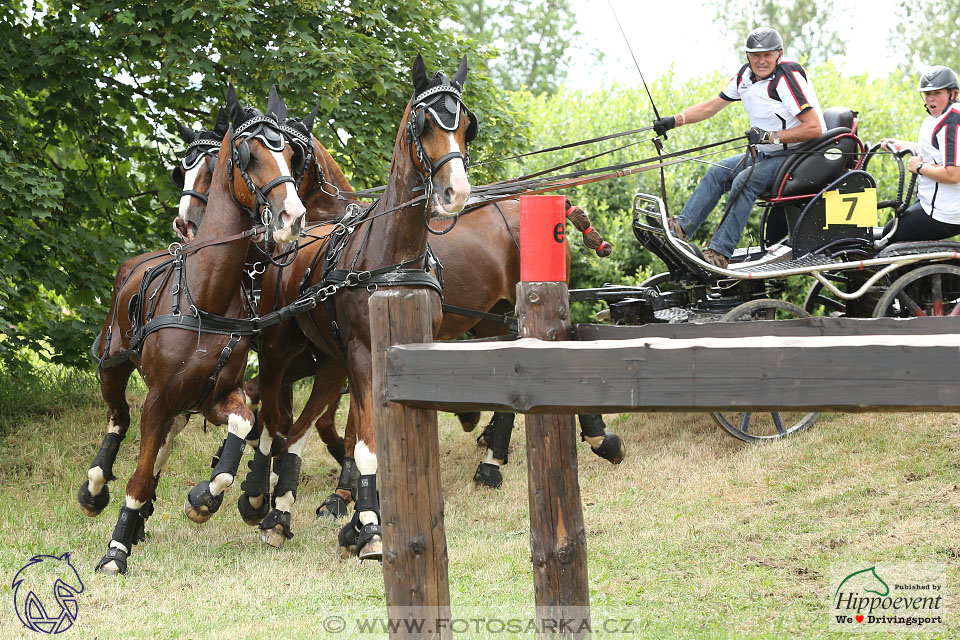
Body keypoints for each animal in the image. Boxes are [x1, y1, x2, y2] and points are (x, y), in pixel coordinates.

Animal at [86, 86, 306, 576]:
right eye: (250, 155)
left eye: (290, 156)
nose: (293, 216)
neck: (207, 295)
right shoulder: (158, 398)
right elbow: (140, 474)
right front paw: (115, 550)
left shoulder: (213, 397)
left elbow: (243, 425)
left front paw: (204, 499)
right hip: (112, 367)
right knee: (118, 418)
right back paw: (94, 489)